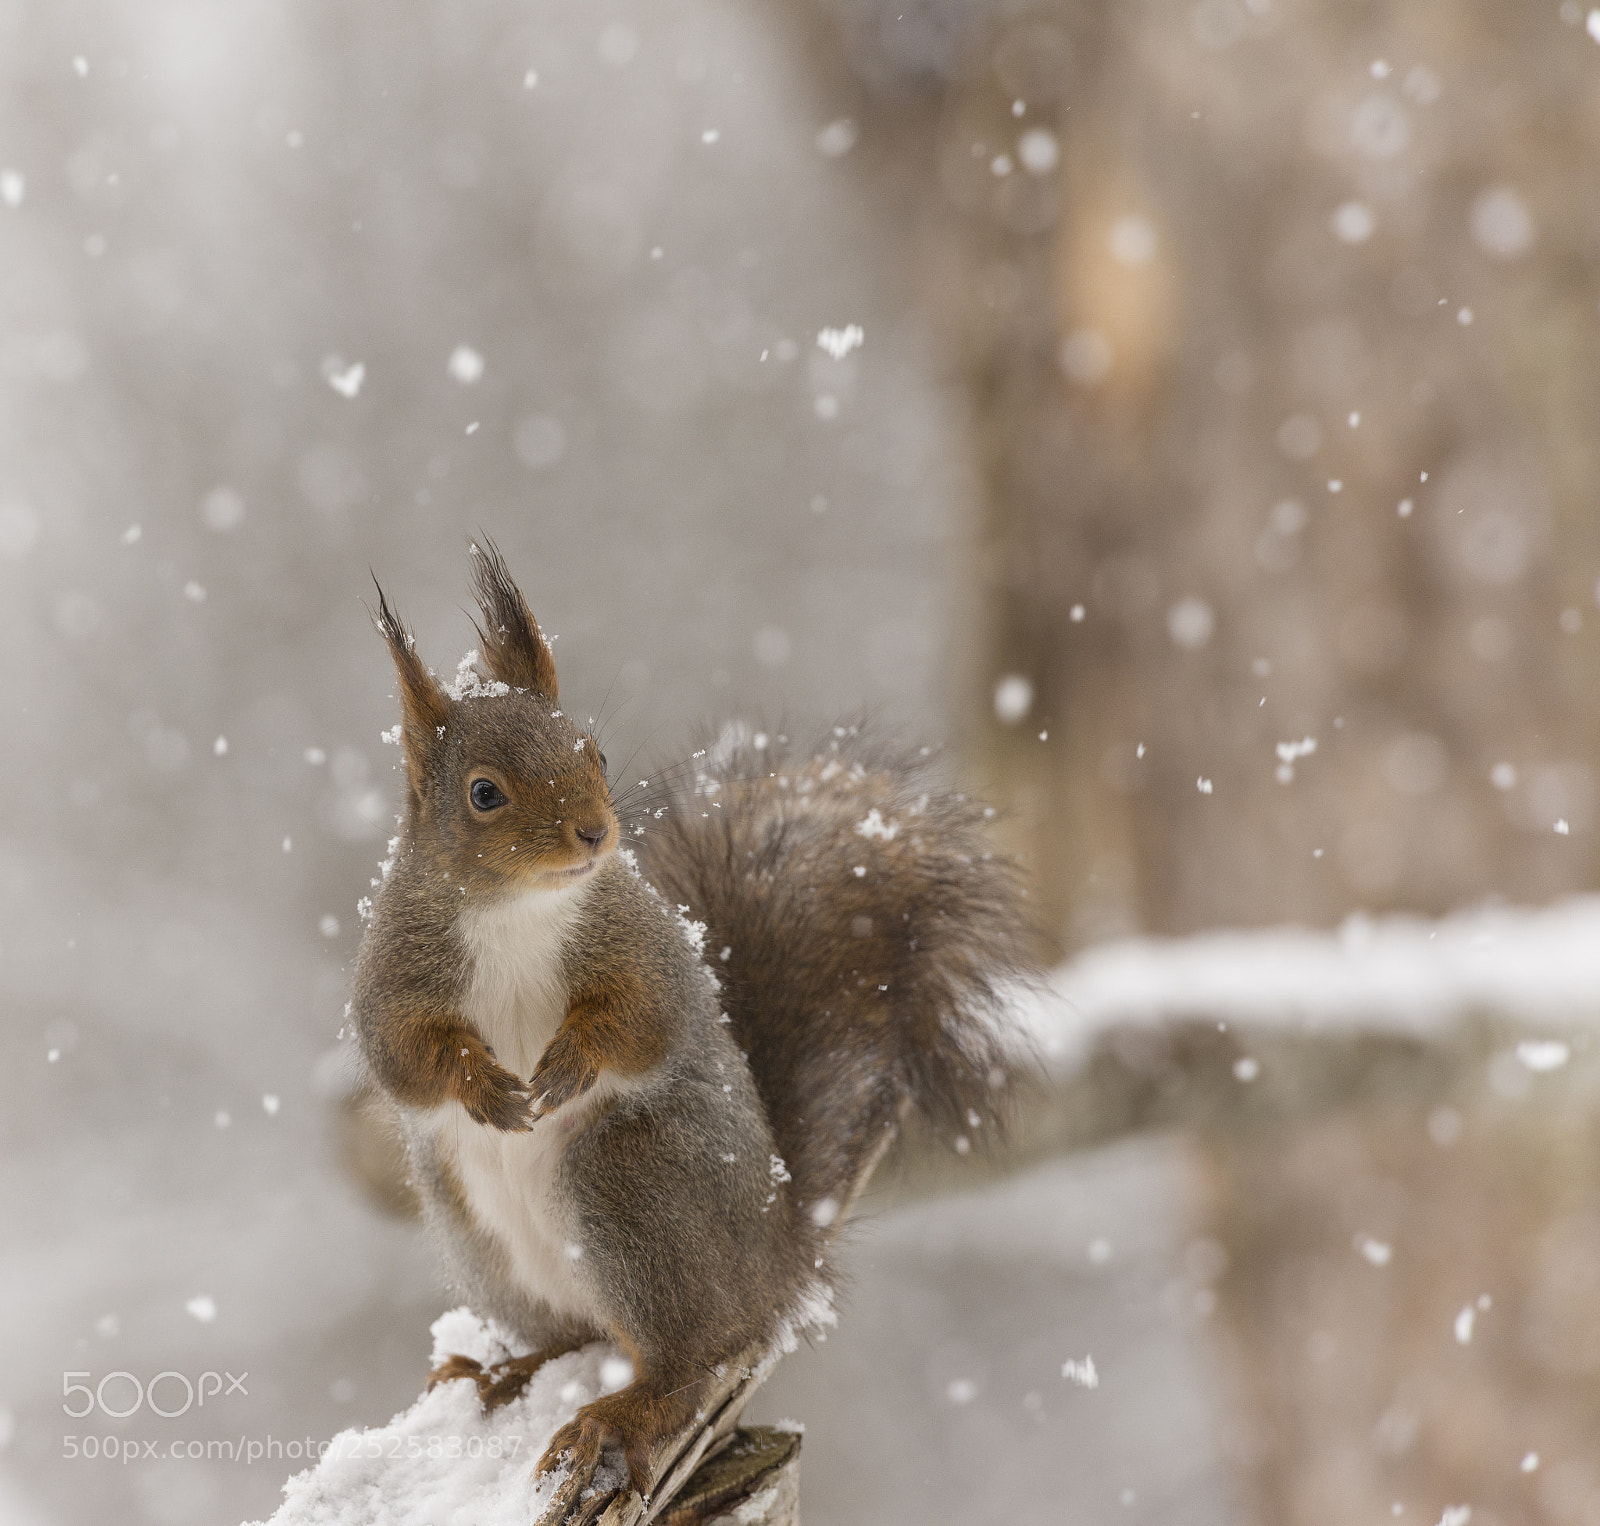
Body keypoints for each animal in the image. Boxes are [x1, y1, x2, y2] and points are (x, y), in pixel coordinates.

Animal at [350, 543, 1032, 1512]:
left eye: (594, 750)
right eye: (483, 794)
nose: (593, 833)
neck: (518, 910)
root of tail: (779, 1265)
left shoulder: (648, 951)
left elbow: (644, 1025)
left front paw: (570, 1061)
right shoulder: (392, 979)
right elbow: (405, 1058)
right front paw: (482, 1082)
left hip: (632, 1181)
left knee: (685, 1363)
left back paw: (617, 1413)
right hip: (475, 1226)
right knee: (580, 1337)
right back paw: (504, 1373)